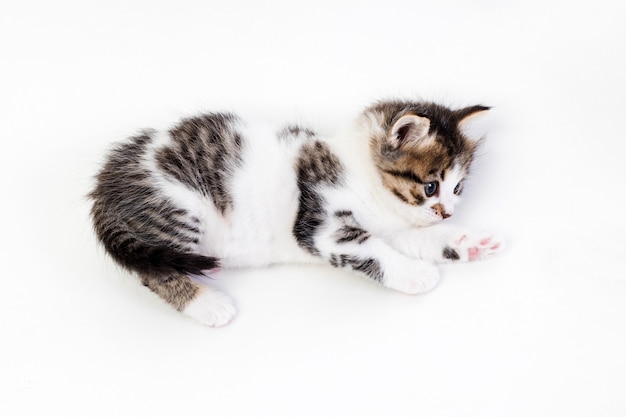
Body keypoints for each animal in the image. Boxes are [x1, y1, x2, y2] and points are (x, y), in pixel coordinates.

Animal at [90, 100, 502, 324]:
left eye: (458, 189)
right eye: (431, 186)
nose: (448, 213)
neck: (361, 174)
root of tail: (105, 182)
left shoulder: (391, 225)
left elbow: (416, 238)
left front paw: (469, 241)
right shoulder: (321, 224)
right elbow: (372, 250)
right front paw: (417, 274)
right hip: (179, 206)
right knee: (153, 272)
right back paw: (207, 304)